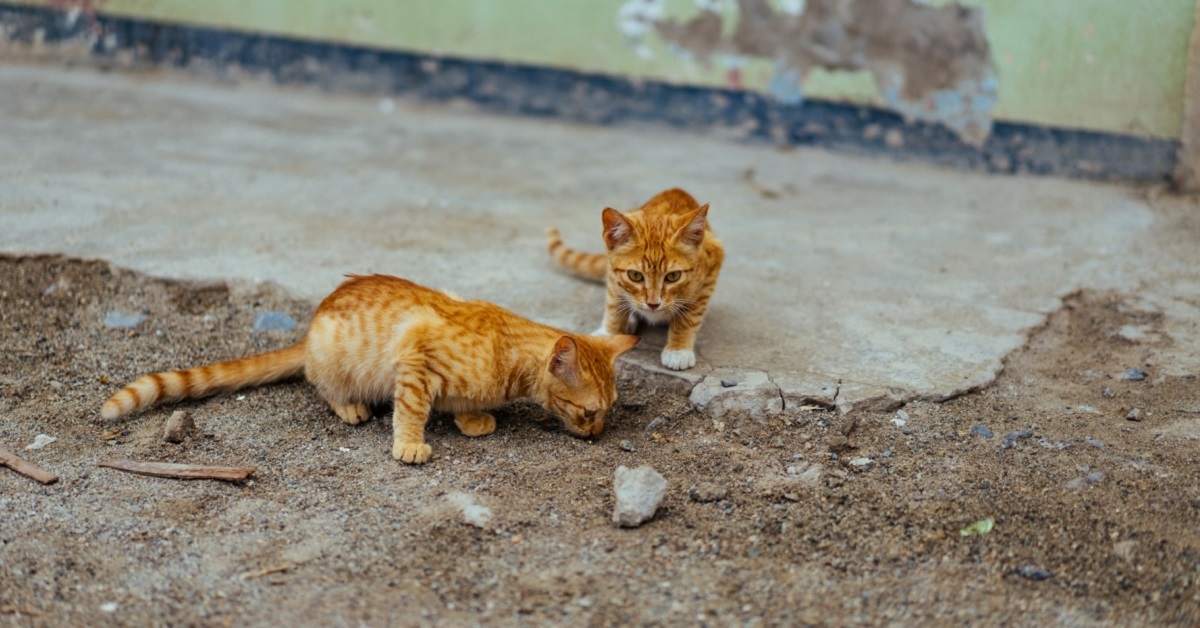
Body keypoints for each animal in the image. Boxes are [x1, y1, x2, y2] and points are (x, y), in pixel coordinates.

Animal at [102, 272, 643, 463]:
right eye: (589, 411)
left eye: (608, 410)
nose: (597, 436)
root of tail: (311, 328)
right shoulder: (416, 361)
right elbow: (411, 411)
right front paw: (410, 445)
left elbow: (460, 405)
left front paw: (471, 419)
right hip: (335, 361)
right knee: (320, 385)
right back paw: (349, 407)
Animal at [544, 189, 720, 372]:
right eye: (635, 275)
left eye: (673, 276)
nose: (653, 304)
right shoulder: (613, 276)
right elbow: (613, 305)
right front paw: (609, 333)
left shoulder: (709, 276)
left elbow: (689, 318)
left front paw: (678, 350)